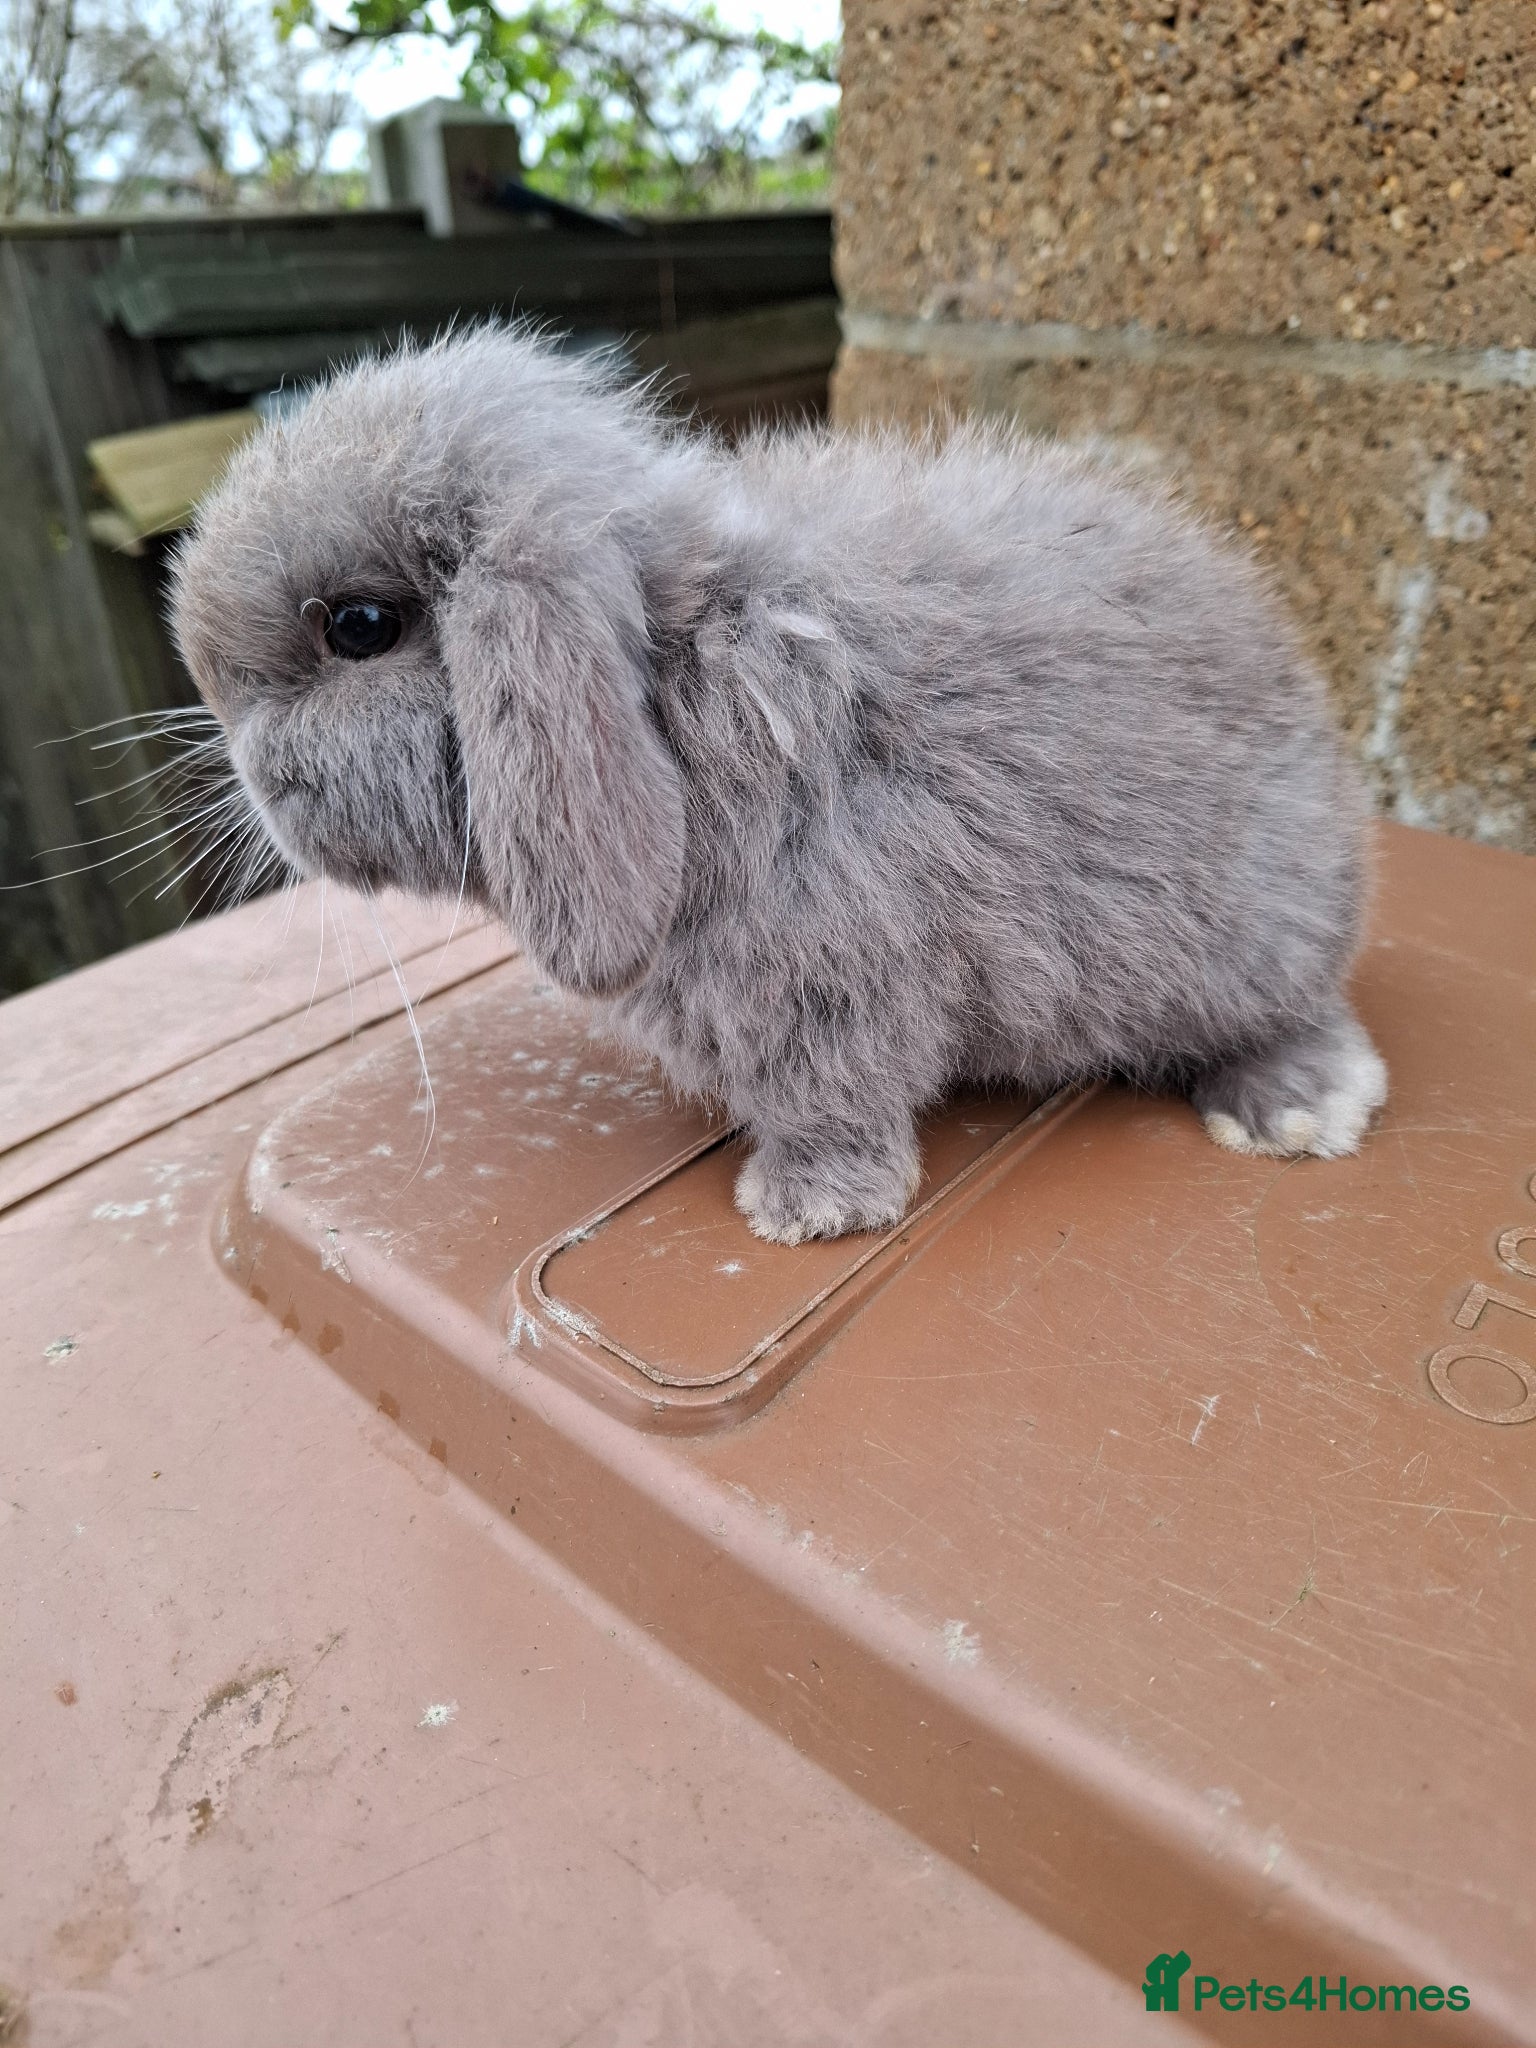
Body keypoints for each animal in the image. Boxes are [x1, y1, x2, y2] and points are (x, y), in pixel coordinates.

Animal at [169, 326, 1387, 1245]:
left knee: (1301, 1019)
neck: (673, 686)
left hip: (1252, 938)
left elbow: (831, 1096)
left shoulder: (832, 978)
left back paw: (1294, 1112)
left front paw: (802, 1210)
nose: (248, 770)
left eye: (360, 626)